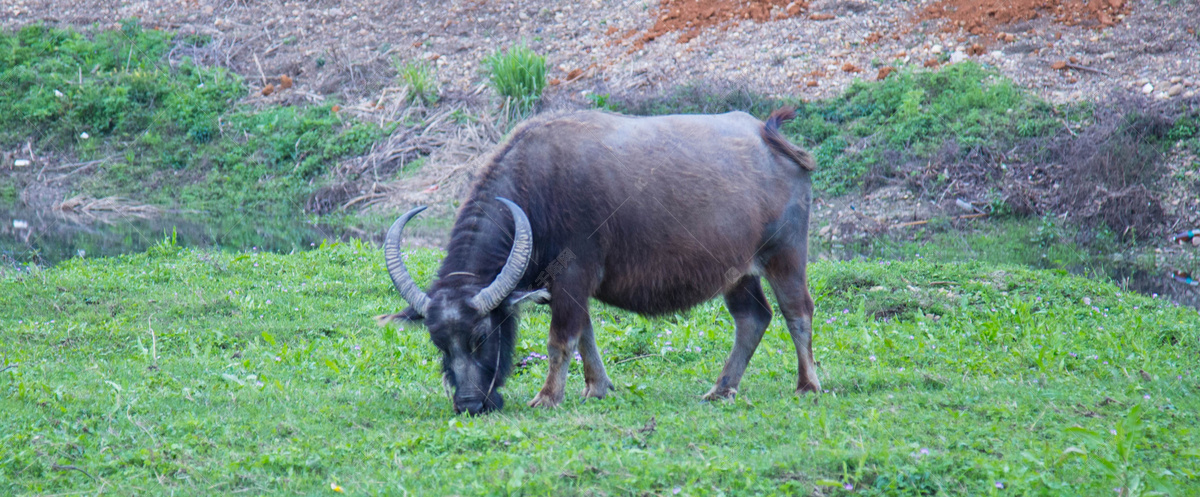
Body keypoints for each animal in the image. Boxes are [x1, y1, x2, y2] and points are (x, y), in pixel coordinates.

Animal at [379, 106, 820, 412]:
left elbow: (561, 339)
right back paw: (721, 387)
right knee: (753, 317)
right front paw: (597, 387)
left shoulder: (573, 277)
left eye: (483, 336)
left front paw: (547, 396)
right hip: (737, 273)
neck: (536, 191)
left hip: (785, 256)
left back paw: (807, 385)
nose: (470, 404)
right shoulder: (567, 288)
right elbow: (585, 335)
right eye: (439, 343)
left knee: (797, 312)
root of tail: (769, 136)